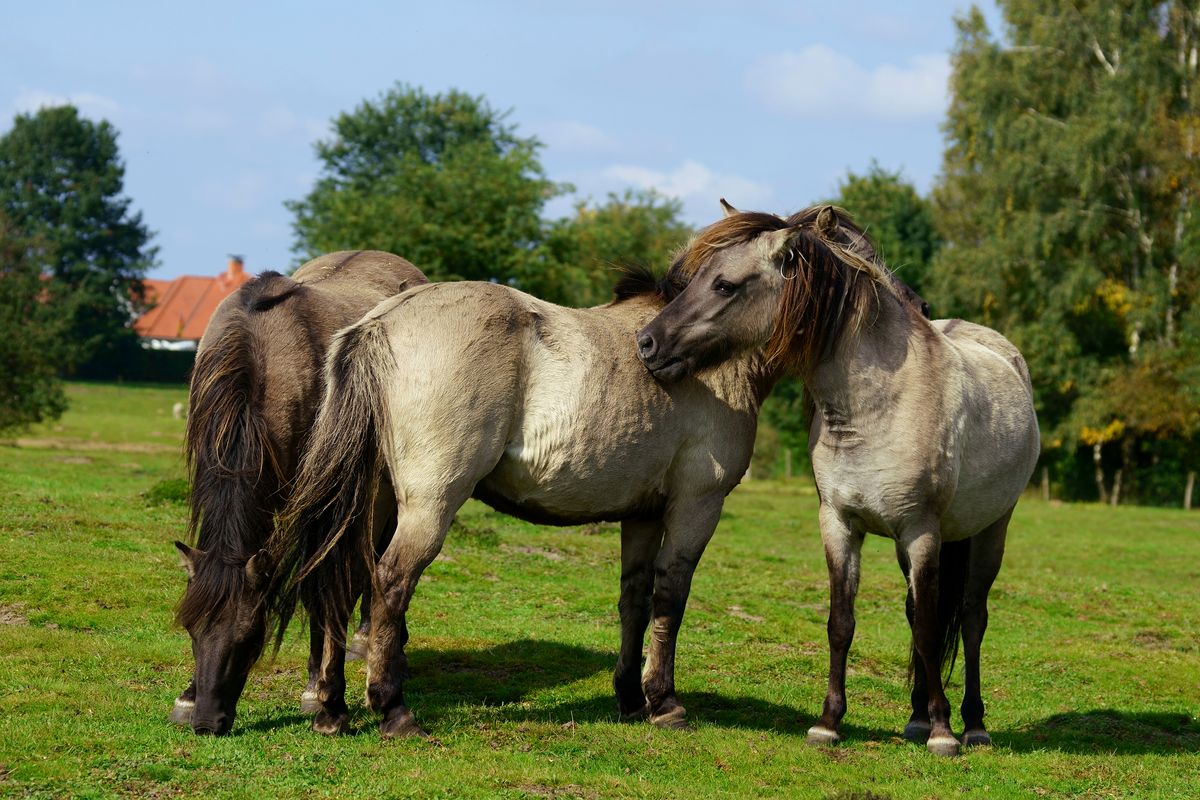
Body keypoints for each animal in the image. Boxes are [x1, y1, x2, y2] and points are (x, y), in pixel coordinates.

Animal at [166, 251, 429, 738]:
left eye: (250, 637)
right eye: (190, 628)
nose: (208, 722)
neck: (261, 352)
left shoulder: (318, 507)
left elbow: (317, 591)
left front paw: (316, 692)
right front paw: (187, 696)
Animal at [638, 205, 1041, 758]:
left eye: (724, 285)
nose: (647, 342)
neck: (879, 407)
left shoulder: (921, 532)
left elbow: (935, 627)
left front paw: (944, 733)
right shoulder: (840, 524)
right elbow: (844, 624)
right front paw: (829, 722)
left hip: (990, 530)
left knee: (972, 618)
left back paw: (972, 725)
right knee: (918, 613)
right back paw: (916, 718)